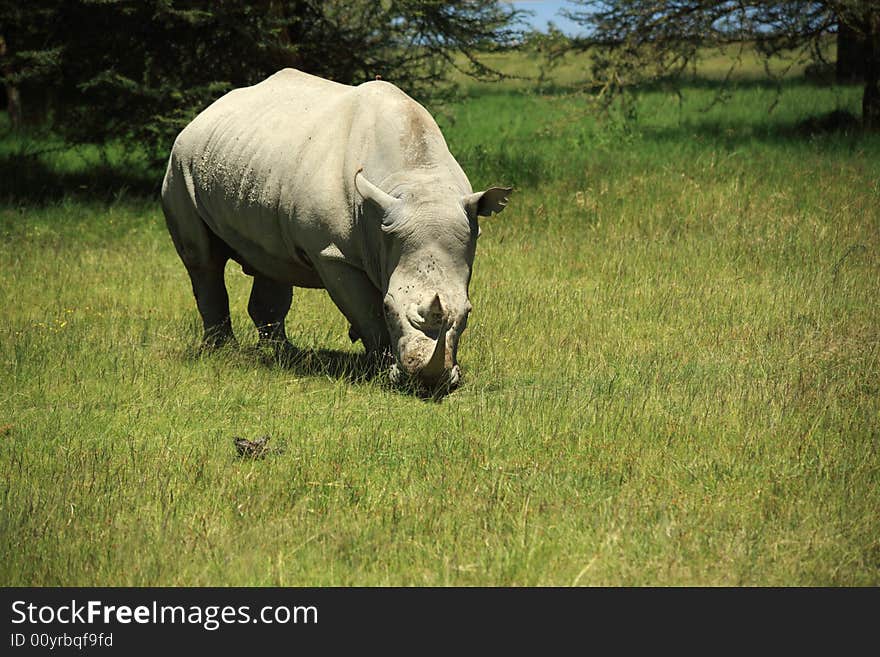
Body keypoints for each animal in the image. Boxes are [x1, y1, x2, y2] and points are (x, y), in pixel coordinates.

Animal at [162, 69, 512, 390]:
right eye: (388, 306)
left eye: (467, 311)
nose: (427, 383)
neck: (417, 180)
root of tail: (204, 113)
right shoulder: (333, 254)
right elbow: (366, 312)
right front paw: (380, 369)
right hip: (181, 162)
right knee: (203, 260)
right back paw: (223, 352)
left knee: (272, 261)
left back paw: (283, 354)